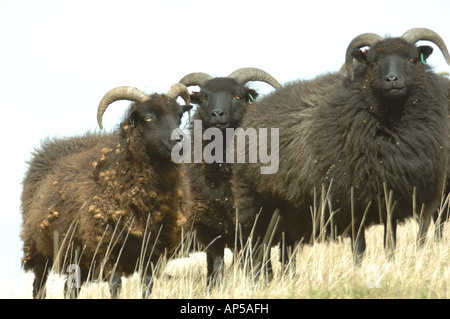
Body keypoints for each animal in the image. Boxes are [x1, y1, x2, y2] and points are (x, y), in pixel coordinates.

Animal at [20, 84, 192, 298]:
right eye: (148, 117)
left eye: (179, 116)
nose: (180, 140)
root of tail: (44, 150)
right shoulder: (108, 249)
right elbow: (115, 287)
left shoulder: (152, 252)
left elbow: (147, 287)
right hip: (38, 250)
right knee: (39, 286)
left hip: (78, 258)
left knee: (71, 288)